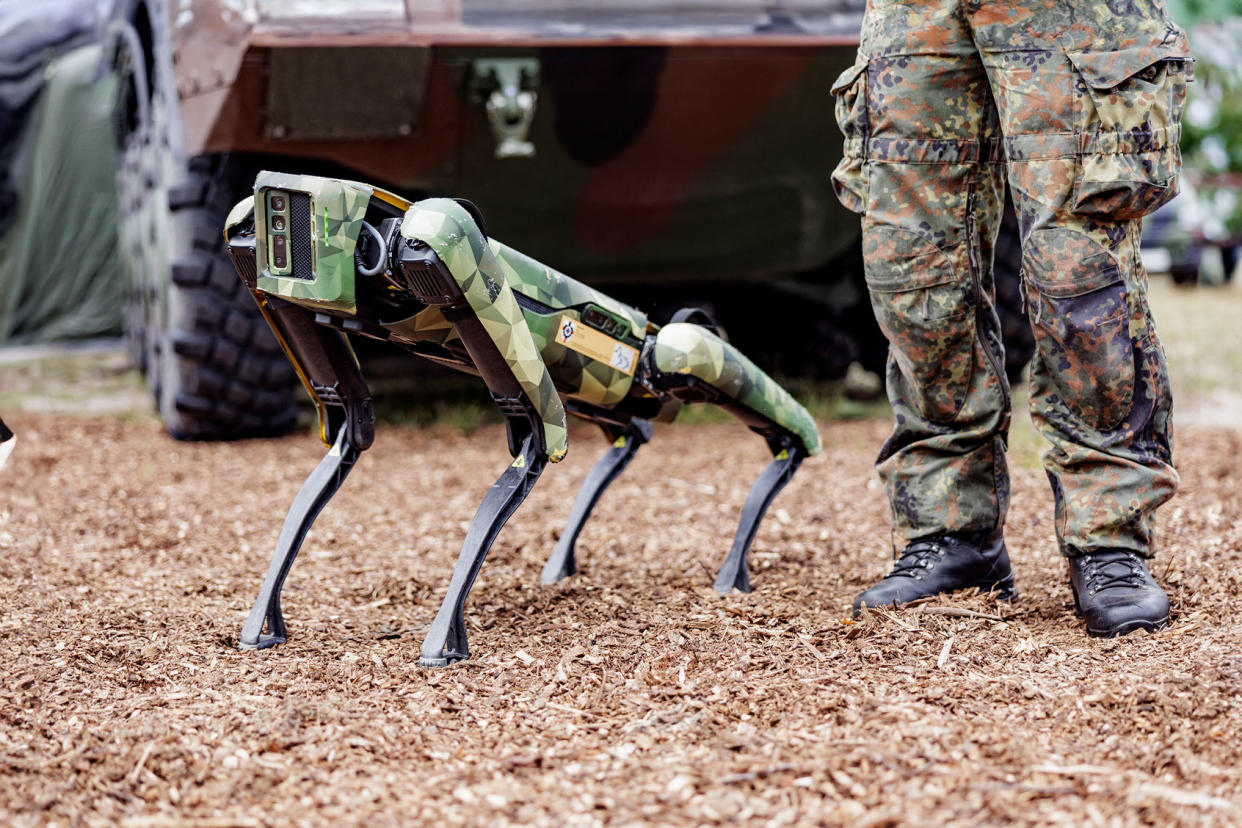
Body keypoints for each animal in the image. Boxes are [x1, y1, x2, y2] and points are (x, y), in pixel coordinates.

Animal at [223, 173, 824, 665]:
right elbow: (350, 427)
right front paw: (261, 630)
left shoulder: (445, 245)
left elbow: (539, 439)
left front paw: (441, 646)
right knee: (633, 428)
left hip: (667, 361)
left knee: (693, 352)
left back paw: (784, 471)